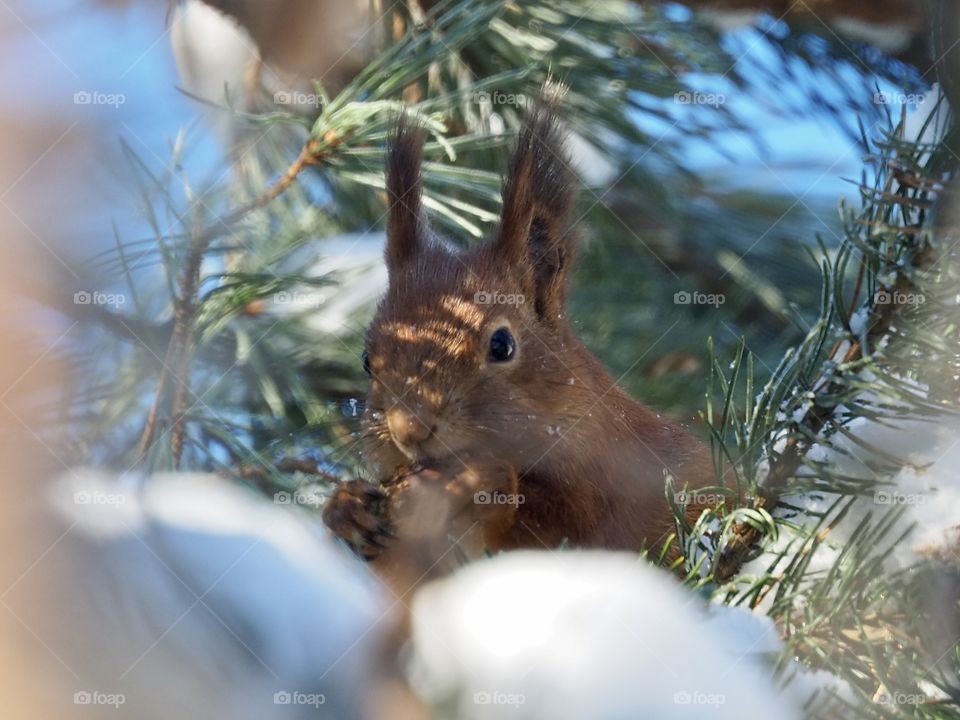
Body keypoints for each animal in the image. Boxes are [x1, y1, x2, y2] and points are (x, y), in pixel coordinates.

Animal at [323, 103, 716, 588]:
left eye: (502, 346)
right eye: (366, 361)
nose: (410, 429)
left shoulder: (620, 490)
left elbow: (567, 525)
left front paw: (479, 481)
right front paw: (345, 508)